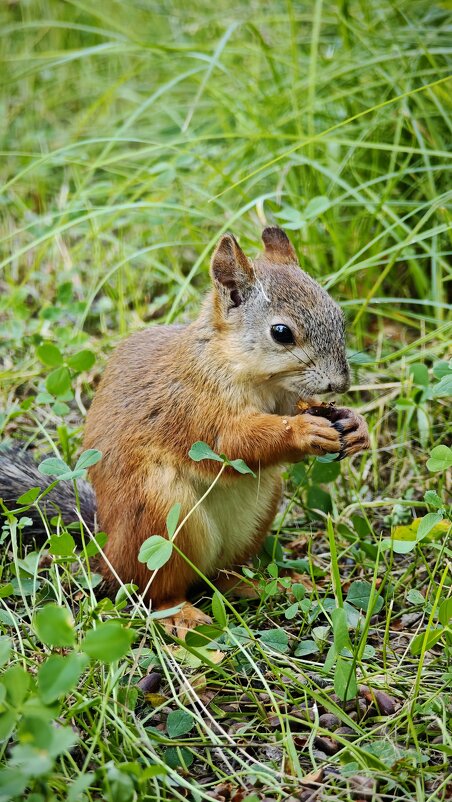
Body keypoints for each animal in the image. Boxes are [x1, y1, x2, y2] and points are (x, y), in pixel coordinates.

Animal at [0, 227, 369, 635]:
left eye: (339, 316)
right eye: (281, 333)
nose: (340, 384)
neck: (255, 377)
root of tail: (106, 544)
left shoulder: (286, 399)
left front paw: (355, 424)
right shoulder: (195, 407)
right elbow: (233, 442)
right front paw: (303, 431)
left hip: (256, 513)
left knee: (223, 576)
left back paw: (266, 584)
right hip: (161, 517)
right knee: (153, 590)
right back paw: (181, 614)